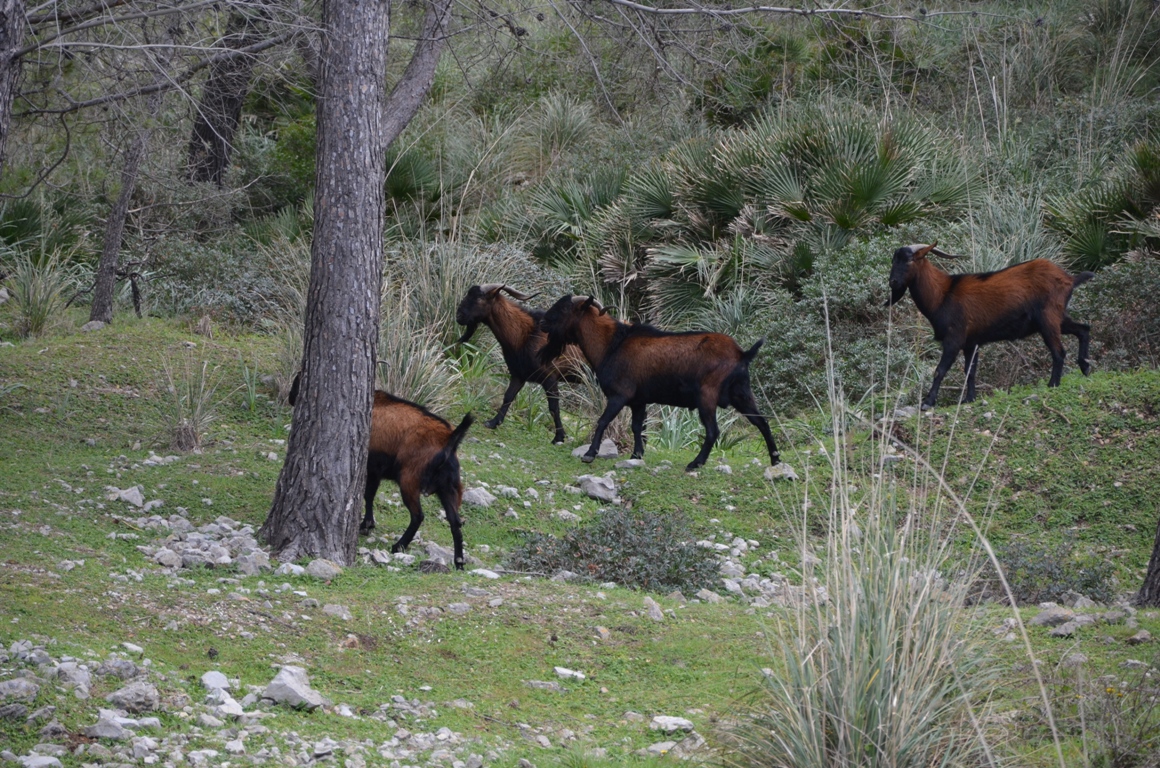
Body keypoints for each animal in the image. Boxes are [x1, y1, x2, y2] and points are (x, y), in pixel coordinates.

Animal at [287, 375, 473, 568]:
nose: (290, 397)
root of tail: (449, 439)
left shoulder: (372, 468)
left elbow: (368, 495)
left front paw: (366, 524)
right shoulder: (375, 472)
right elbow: (370, 495)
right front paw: (368, 524)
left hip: (409, 480)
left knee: (418, 516)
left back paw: (399, 546)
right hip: (449, 487)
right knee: (455, 522)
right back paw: (459, 561)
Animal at [452, 284, 580, 445]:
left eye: (480, 297)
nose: (459, 316)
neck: (526, 334)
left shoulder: (550, 378)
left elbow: (553, 407)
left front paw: (559, 437)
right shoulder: (518, 374)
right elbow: (508, 396)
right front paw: (493, 422)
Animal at [535, 295, 779, 473]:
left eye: (565, 309)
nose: (543, 322)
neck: (612, 344)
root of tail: (742, 355)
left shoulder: (619, 395)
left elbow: (603, 420)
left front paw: (590, 454)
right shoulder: (638, 400)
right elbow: (637, 427)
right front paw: (636, 455)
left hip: (707, 395)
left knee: (713, 431)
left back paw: (695, 463)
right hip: (741, 393)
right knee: (762, 422)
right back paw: (775, 460)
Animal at [886, 242, 1095, 408]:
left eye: (909, 260)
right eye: (894, 260)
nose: (893, 282)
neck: (942, 294)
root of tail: (1069, 279)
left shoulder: (954, 338)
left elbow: (940, 370)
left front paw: (928, 402)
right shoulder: (971, 343)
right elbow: (970, 371)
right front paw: (969, 399)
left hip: (1048, 319)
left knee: (1059, 351)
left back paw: (1053, 384)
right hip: (1057, 317)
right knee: (1083, 329)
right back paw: (1085, 368)